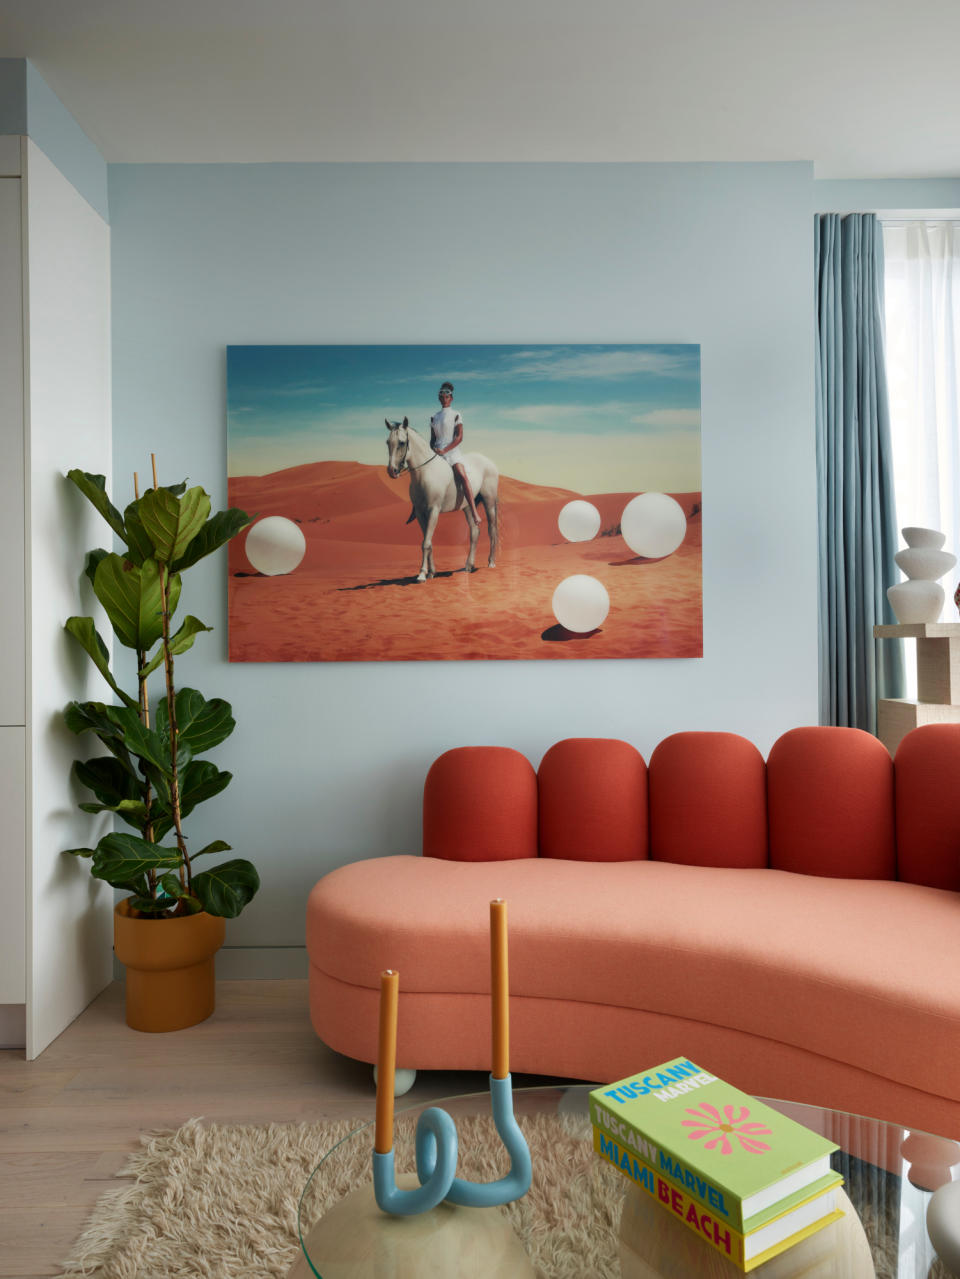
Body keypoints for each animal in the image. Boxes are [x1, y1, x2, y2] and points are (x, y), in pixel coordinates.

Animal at [386, 416, 498, 583]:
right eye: (388, 442)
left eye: (401, 442)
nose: (392, 471)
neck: (425, 472)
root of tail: (489, 462)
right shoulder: (420, 513)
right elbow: (428, 542)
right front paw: (431, 572)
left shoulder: (434, 510)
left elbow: (426, 543)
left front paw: (422, 574)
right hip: (467, 507)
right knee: (474, 532)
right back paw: (468, 565)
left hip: (489, 502)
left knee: (491, 530)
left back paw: (491, 562)